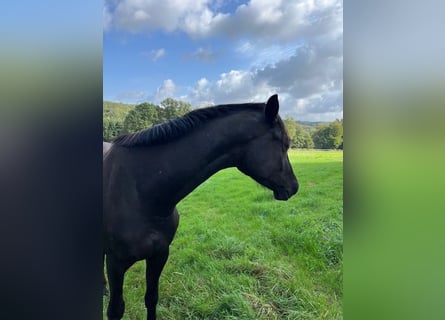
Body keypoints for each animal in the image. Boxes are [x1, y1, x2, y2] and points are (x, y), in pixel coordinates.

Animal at [103, 94, 298, 318]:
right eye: (285, 143)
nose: (294, 187)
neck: (141, 193)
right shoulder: (116, 264)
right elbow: (116, 309)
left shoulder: (159, 255)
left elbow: (151, 298)